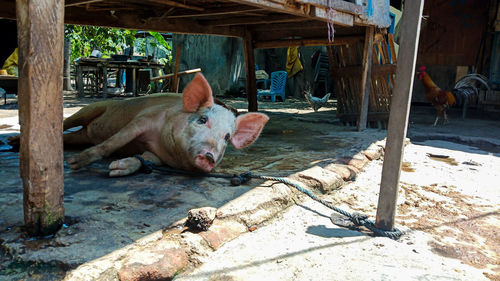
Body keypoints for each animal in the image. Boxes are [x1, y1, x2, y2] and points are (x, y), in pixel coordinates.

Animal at [62, 73, 270, 176]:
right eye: (202, 120)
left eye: (227, 137)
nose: (209, 156)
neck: (167, 147)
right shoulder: (143, 119)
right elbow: (114, 141)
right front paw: (74, 163)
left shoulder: (157, 156)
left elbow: (143, 159)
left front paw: (116, 169)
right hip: (92, 108)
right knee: (69, 121)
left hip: (82, 135)